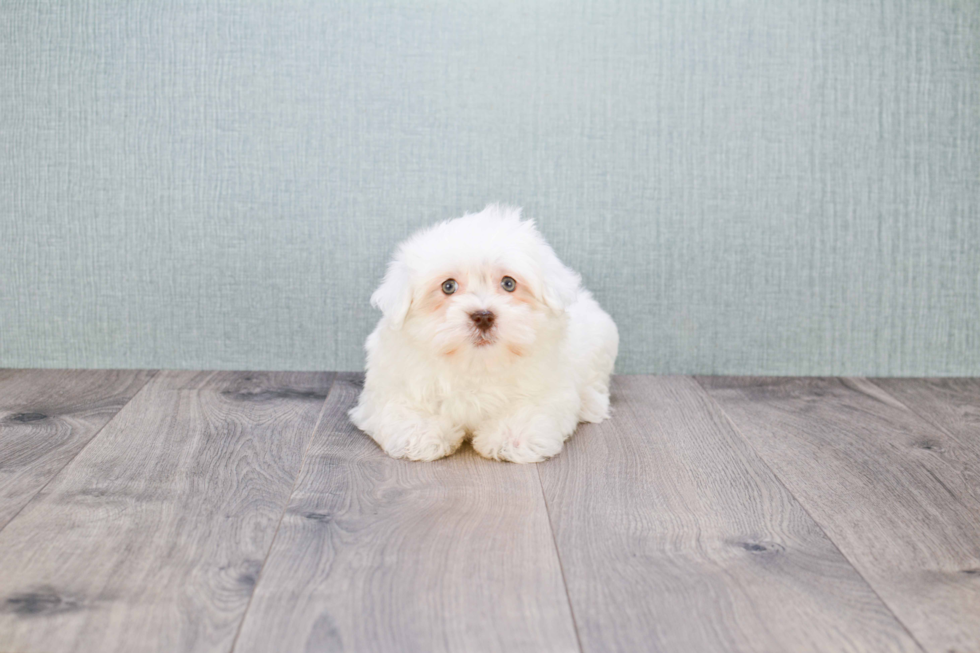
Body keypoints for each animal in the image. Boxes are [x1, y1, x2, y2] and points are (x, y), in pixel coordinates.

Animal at [348, 204, 616, 464]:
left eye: (509, 283)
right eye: (448, 286)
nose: (483, 316)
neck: (476, 363)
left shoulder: (550, 386)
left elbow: (532, 408)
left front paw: (513, 437)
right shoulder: (390, 386)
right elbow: (400, 407)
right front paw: (421, 433)